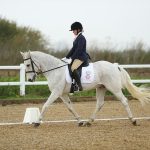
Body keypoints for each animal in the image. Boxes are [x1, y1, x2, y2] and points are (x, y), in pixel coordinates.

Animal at [20, 50, 150, 126]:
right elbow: (70, 107)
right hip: (101, 88)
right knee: (100, 103)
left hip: (114, 88)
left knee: (124, 101)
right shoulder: (63, 94)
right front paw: (80, 121)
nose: (30, 80)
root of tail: (114, 66)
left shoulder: (56, 92)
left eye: (28, 64)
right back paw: (89, 121)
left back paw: (133, 120)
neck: (55, 70)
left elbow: (46, 105)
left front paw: (37, 121)